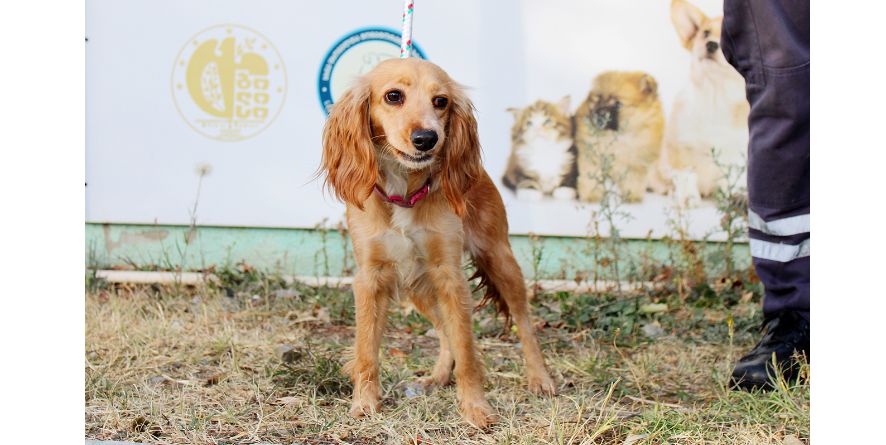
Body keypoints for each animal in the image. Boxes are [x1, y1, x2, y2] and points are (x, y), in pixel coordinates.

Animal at [576, 70, 664, 202]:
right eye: (598, 100)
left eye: (618, 104)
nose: (599, 113)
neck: (619, 137)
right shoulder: (591, 156)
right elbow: (591, 177)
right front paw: (592, 196)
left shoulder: (637, 162)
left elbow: (633, 181)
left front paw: (632, 197)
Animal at [664, 0, 752, 206]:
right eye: (705, 33)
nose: (711, 44)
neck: (715, 96)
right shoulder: (680, 146)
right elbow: (686, 174)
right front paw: (688, 197)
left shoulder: (737, 153)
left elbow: (731, 177)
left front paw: (733, 196)